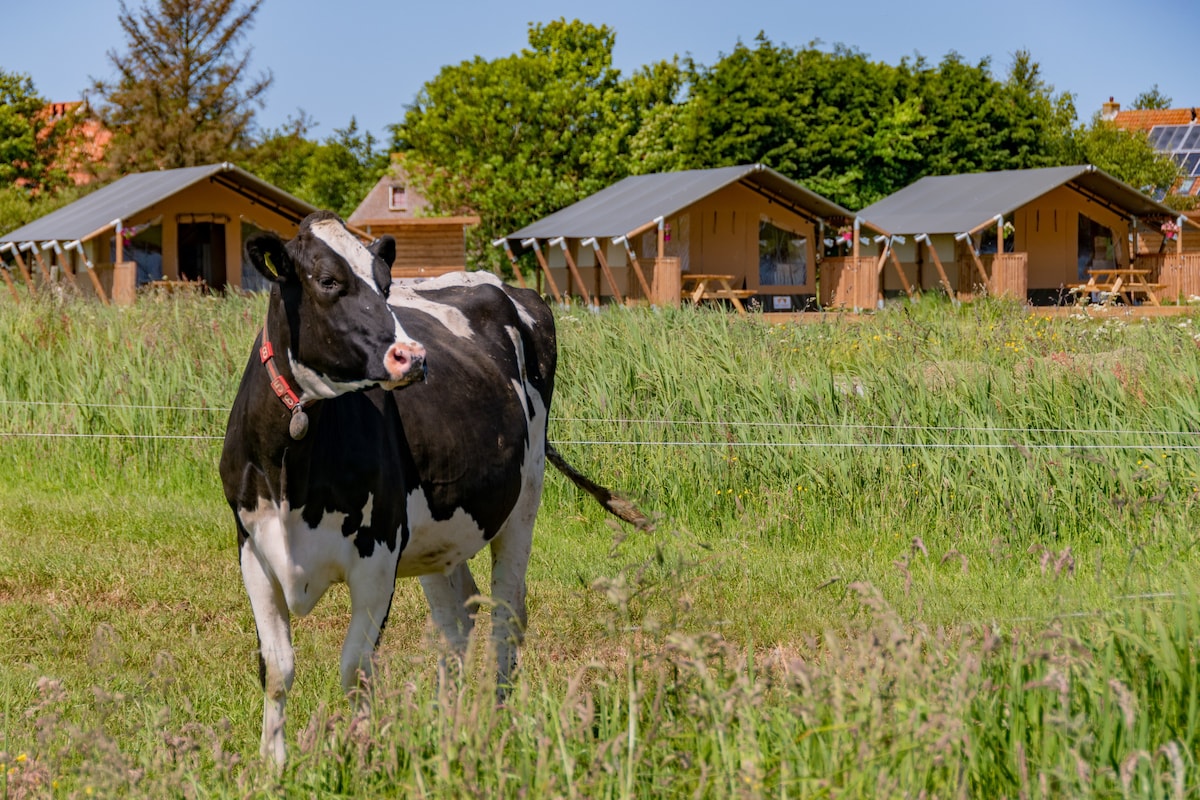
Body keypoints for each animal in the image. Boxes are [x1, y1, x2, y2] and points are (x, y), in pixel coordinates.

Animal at [219, 211, 643, 762]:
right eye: (328, 280)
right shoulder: (253, 548)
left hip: (523, 499)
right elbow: (276, 670)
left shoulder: (377, 554)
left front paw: (361, 756)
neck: (294, 469)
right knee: (456, 622)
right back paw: (450, 725)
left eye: (384, 284)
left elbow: (356, 670)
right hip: (438, 534)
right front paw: (273, 764)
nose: (413, 357)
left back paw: (497, 722)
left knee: (506, 615)